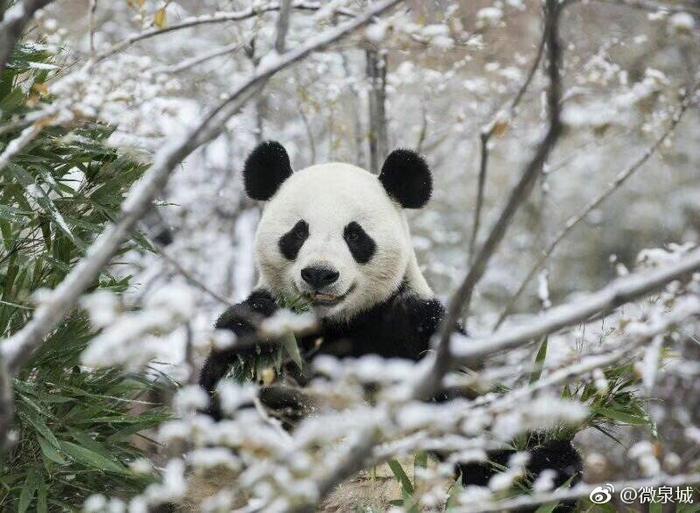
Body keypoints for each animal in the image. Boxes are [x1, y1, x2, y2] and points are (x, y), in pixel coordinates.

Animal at [200, 139, 584, 508]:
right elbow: (215, 417)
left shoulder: (419, 330)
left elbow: (474, 421)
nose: (320, 274)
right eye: (298, 233)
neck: (338, 327)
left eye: (355, 235)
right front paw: (251, 338)